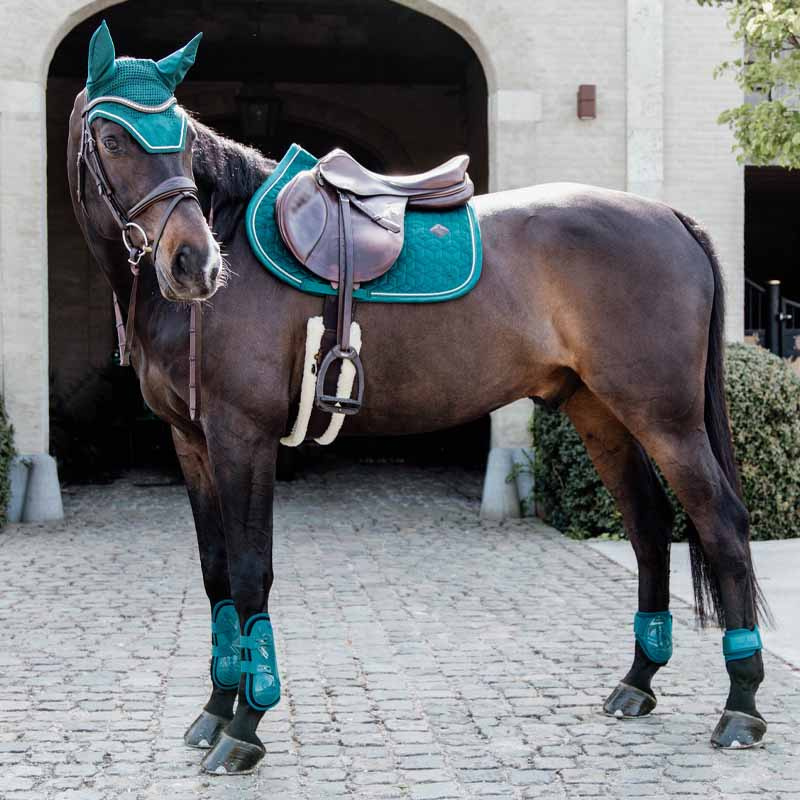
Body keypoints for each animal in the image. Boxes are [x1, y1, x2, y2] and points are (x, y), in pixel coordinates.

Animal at [66, 37, 768, 775]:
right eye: (112, 137)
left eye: (179, 136)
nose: (195, 264)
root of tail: (670, 218)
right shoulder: (191, 443)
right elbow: (216, 575)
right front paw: (213, 711)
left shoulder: (242, 438)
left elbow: (251, 572)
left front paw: (245, 728)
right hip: (600, 412)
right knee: (648, 523)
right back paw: (637, 682)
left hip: (666, 418)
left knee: (721, 522)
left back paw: (742, 708)